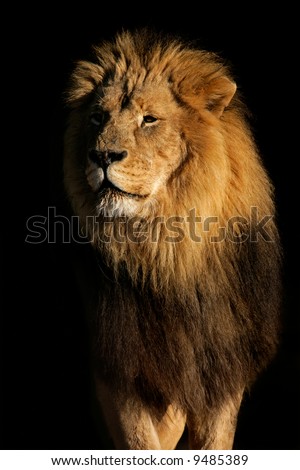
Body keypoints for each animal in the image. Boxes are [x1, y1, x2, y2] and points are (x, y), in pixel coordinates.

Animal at [62, 27, 282, 450]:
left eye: (149, 120)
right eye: (98, 117)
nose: (102, 156)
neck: (167, 251)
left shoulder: (220, 371)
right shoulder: (120, 373)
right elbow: (144, 444)